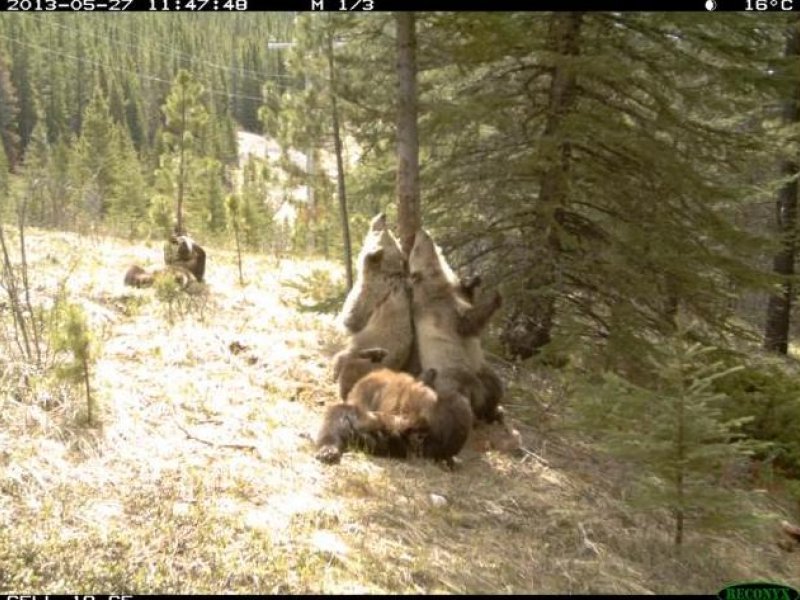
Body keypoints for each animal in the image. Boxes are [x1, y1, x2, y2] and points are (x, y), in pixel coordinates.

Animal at [330, 213, 412, 400]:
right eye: (389, 230)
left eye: (381, 231)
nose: (383, 215)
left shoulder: (368, 294)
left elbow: (352, 317)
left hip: (364, 363)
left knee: (347, 365)